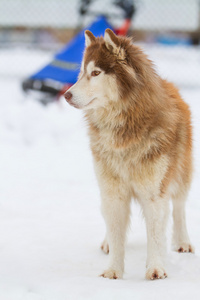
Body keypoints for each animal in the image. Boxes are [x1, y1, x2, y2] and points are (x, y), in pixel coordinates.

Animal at [64, 29, 194, 280]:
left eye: (96, 73)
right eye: (82, 73)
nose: (66, 95)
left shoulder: (154, 192)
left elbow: (155, 234)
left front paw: (155, 268)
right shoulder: (113, 191)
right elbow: (116, 232)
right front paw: (113, 271)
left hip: (181, 174)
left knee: (179, 207)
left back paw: (182, 241)